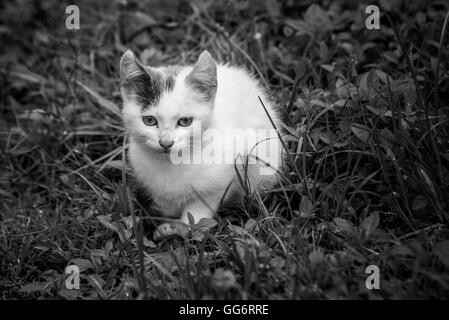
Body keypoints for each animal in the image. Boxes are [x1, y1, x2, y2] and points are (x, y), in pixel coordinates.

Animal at [119, 50, 284, 239]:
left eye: (185, 121)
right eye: (149, 120)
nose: (166, 143)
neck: (172, 164)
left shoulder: (222, 180)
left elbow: (198, 212)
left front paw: (181, 229)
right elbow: (166, 202)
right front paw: (163, 218)